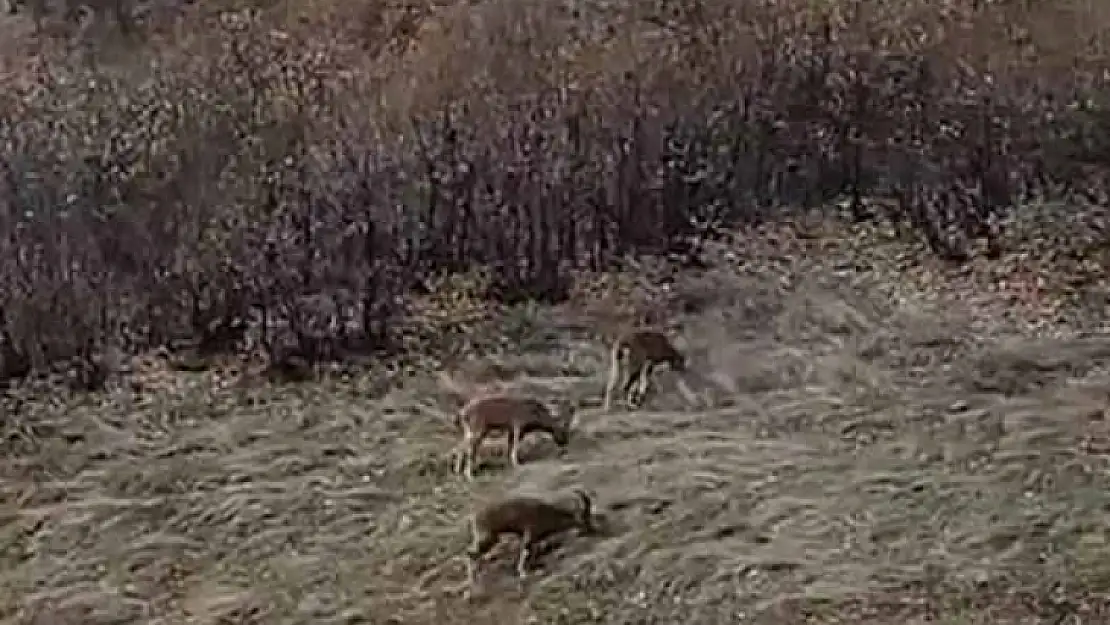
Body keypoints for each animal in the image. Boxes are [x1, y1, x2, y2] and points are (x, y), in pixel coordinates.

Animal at [463, 488, 594, 586]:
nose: (591, 530)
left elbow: (532, 553)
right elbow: (525, 552)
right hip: (488, 537)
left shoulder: (534, 539)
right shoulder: (529, 534)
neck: (548, 514)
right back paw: (472, 580)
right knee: (470, 553)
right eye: (585, 520)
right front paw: (522, 573)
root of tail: (474, 517)